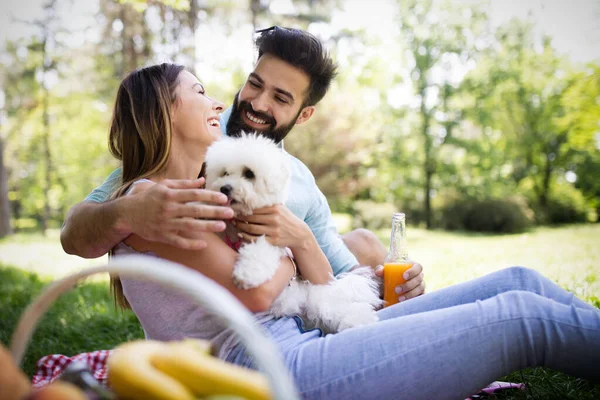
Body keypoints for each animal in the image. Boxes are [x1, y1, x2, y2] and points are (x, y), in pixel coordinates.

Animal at [204, 133, 382, 332]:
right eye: (224, 173)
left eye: (249, 173)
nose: (225, 188)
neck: (242, 220)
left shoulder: (272, 239)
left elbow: (259, 253)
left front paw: (246, 275)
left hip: (322, 304)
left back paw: (361, 320)